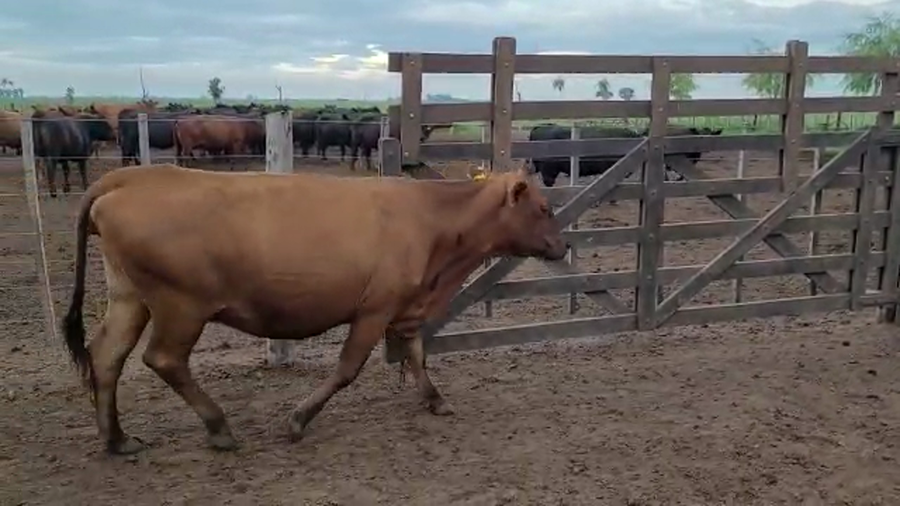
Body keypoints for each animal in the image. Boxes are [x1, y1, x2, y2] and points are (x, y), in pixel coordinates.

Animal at [60, 163, 566, 455]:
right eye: (544, 207)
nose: (562, 247)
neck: (432, 220)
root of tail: (132, 177)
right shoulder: (374, 309)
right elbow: (347, 369)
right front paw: (299, 419)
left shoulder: (407, 308)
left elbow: (418, 355)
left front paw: (435, 399)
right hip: (181, 305)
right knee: (163, 359)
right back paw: (219, 428)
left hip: (130, 296)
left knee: (107, 356)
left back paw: (117, 439)